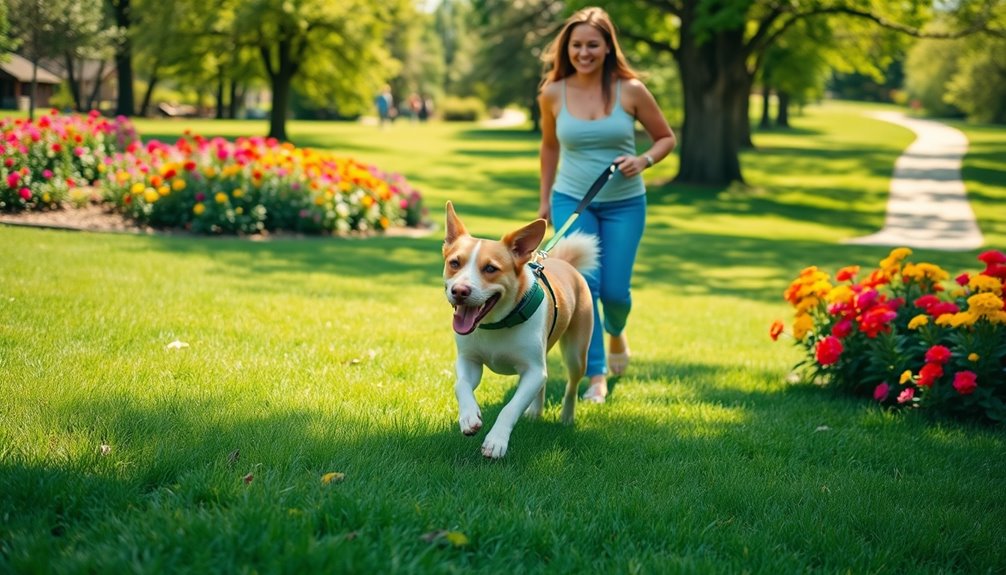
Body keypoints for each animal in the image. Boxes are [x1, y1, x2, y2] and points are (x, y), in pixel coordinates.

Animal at [442, 202, 595, 458]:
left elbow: (510, 408)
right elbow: (461, 384)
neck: (497, 323)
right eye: (454, 263)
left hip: (576, 351)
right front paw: (469, 417)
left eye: (490, 268)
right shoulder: (469, 360)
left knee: (572, 384)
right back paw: (535, 412)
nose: (460, 291)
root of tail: (566, 264)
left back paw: (566, 417)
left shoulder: (532, 371)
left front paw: (496, 441)